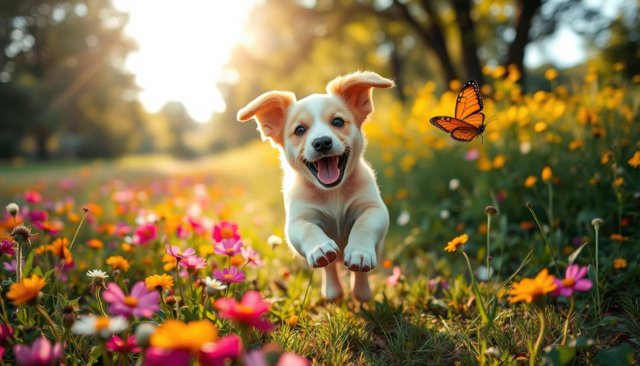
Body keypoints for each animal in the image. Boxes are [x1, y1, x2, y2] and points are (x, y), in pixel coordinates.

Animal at [238, 71, 392, 300]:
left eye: (338, 121)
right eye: (300, 130)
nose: (321, 142)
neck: (333, 192)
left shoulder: (373, 208)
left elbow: (363, 225)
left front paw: (359, 252)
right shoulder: (297, 220)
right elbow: (307, 229)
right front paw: (320, 247)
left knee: (356, 274)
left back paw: (361, 291)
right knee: (330, 268)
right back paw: (333, 291)